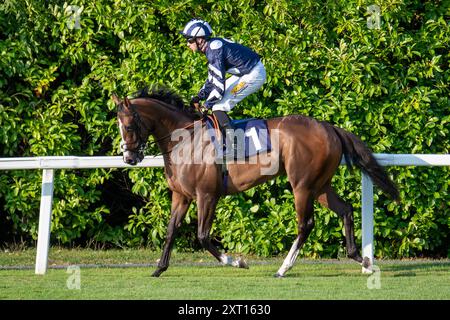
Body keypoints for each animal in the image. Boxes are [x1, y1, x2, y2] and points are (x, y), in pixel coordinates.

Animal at [114, 87, 400, 278]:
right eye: (118, 126)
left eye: (128, 126)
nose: (129, 157)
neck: (185, 141)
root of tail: (328, 126)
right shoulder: (181, 196)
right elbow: (171, 230)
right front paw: (159, 268)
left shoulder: (207, 195)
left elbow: (203, 236)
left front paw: (237, 261)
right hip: (319, 185)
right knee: (345, 209)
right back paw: (361, 259)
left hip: (302, 185)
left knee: (305, 224)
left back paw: (284, 268)